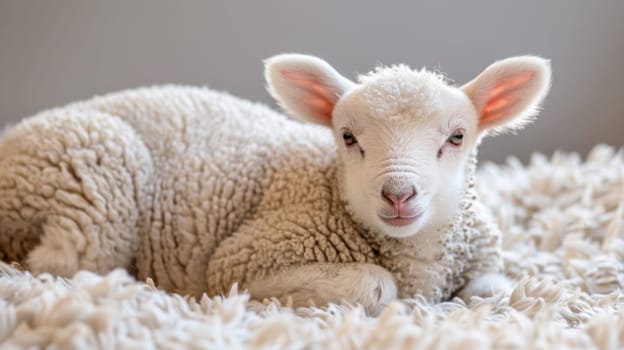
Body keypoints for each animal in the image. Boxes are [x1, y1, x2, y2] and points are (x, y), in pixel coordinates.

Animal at [0, 54, 552, 314]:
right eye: (347, 137)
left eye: (457, 137)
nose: (398, 194)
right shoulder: (246, 254)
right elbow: (376, 284)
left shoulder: (481, 252)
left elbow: (492, 290)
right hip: (92, 174)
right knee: (58, 264)